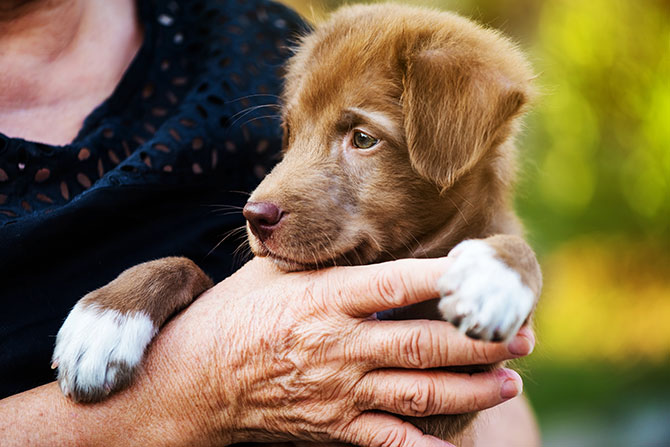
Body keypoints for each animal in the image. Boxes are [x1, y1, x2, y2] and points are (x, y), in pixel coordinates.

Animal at [55, 2, 544, 444]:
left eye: (362, 138)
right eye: (290, 134)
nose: (254, 217)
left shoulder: (445, 391)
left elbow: (516, 249)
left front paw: (496, 276)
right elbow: (185, 264)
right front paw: (105, 320)